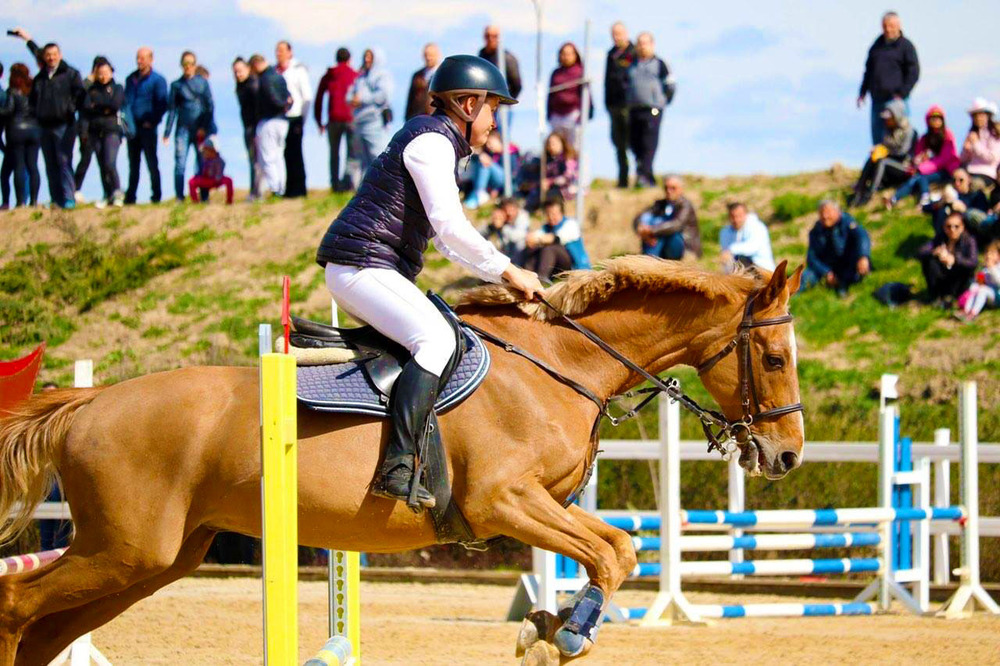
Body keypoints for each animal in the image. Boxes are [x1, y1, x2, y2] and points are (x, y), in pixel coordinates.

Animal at [0, 256, 800, 660]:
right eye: (773, 356)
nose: (787, 456)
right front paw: (566, 634)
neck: (559, 365)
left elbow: (613, 549)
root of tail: (89, 403)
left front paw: (546, 627)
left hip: (155, 559)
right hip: (125, 550)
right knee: (17, 605)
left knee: (46, 628)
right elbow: (615, 552)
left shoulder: (542, 506)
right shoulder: (503, 502)